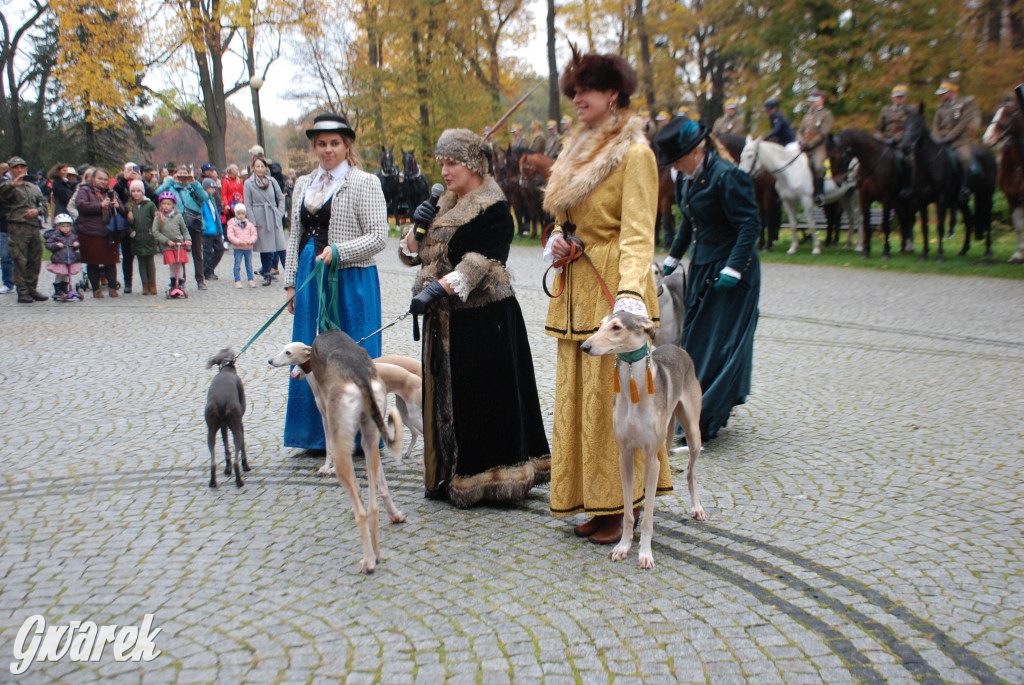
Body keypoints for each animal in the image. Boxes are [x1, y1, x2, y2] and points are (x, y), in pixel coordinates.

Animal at [827, 127, 917, 255]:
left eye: (835, 156)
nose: (838, 181)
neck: (872, 163)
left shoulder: (886, 199)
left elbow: (885, 224)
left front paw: (886, 251)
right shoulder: (864, 197)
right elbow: (867, 223)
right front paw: (866, 251)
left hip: (909, 201)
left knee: (909, 219)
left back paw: (909, 247)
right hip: (897, 201)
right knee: (903, 218)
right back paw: (904, 248)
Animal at [901, 108, 995, 260]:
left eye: (918, 125)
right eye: (904, 125)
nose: (905, 147)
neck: (927, 165)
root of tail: (988, 154)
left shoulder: (942, 199)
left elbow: (940, 226)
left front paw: (940, 254)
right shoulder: (921, 201)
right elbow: (924, 227)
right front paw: (924, 253)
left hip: (986, 194)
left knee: (987, 218)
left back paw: (988, 250)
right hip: (962, 201)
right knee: (969, 220)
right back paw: (963, 250)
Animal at [978, 98, 1019, 262]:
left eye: (1009, 113)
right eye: (996, 111)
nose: (987, 138)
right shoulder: (1011, 196)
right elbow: (1019, 224)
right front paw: (1018, 254)